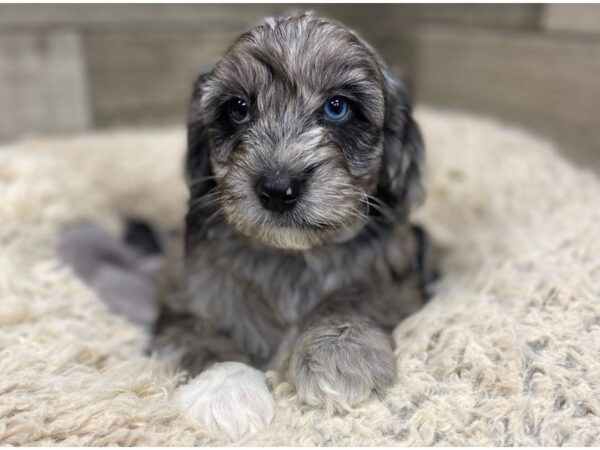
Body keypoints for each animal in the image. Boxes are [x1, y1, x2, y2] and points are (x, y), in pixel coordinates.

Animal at [156, 13, 432, 440]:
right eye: (238, 109)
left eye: (337, 107)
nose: (277, 188)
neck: (291, 256)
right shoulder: (184, 293)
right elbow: (200, 332)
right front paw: (224, 386)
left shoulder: (395, 281)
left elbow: (357, 299)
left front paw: (337, 351)